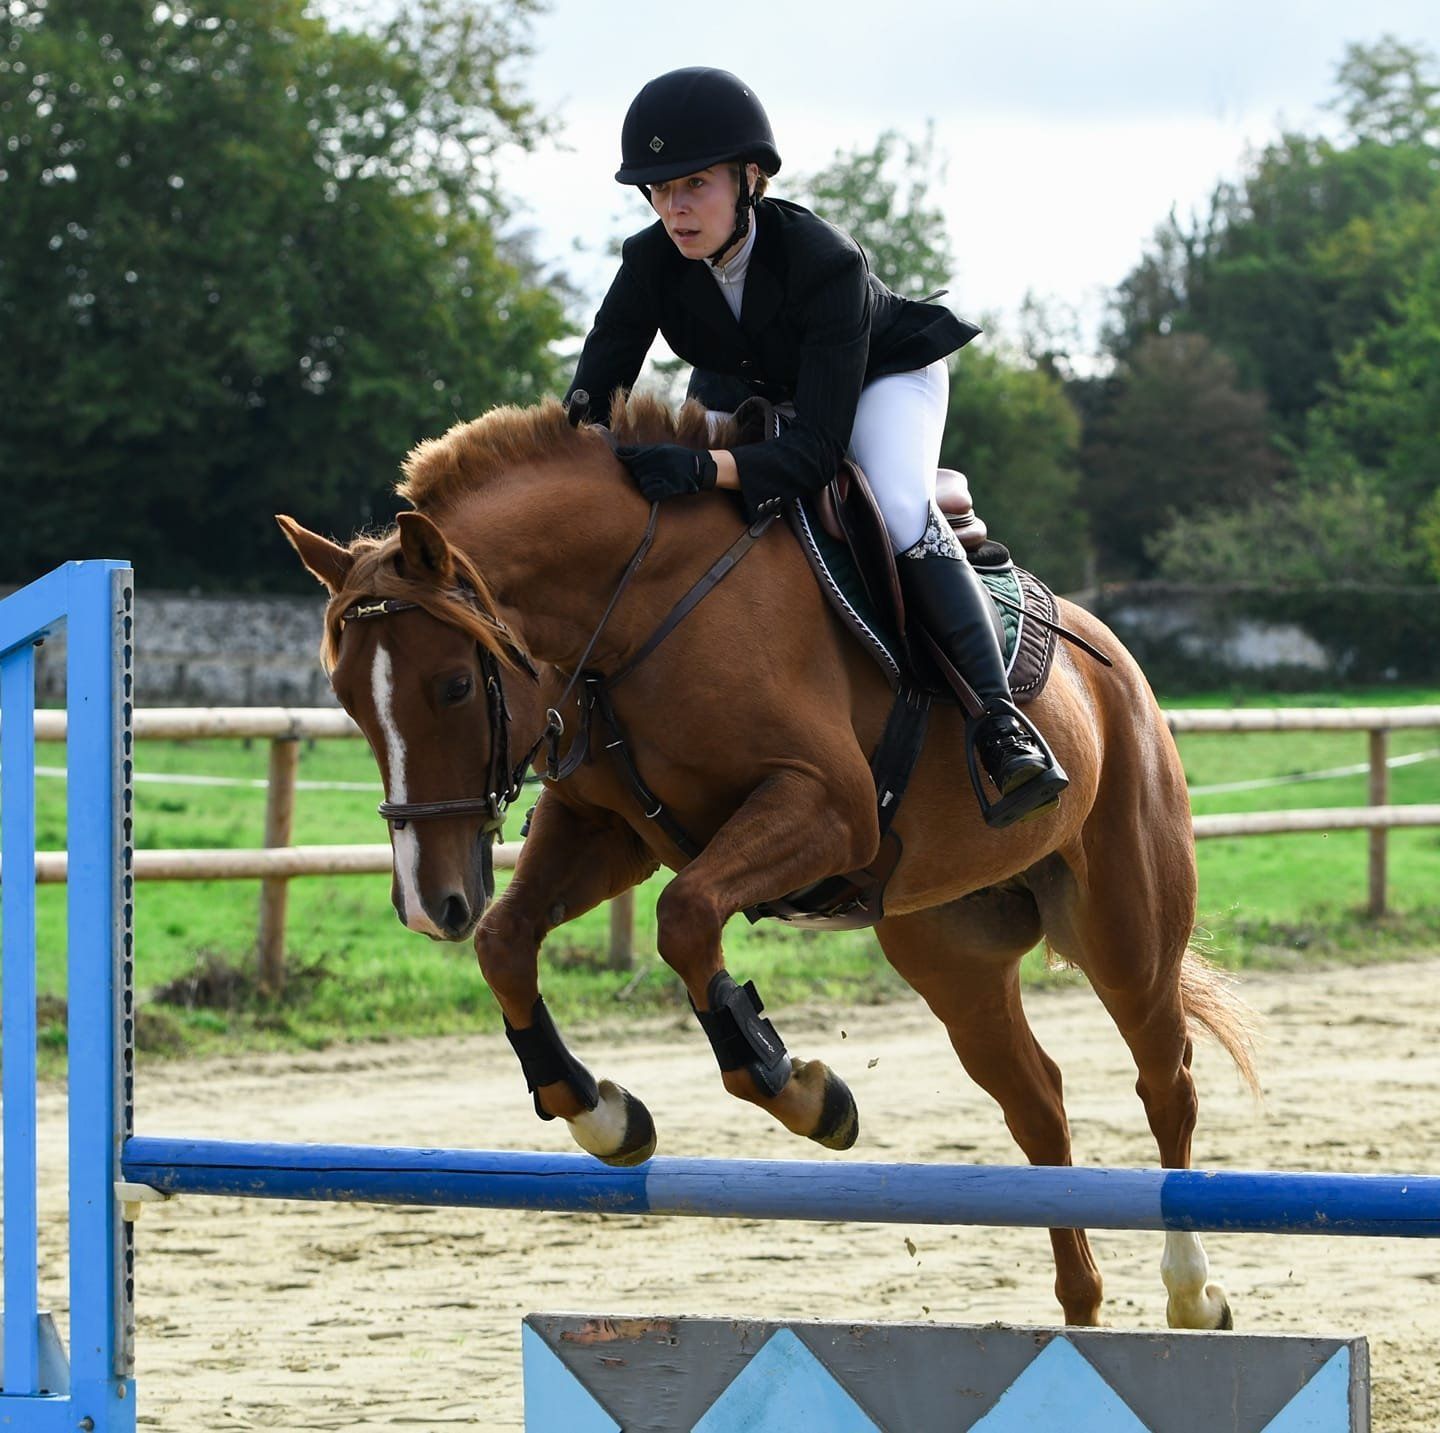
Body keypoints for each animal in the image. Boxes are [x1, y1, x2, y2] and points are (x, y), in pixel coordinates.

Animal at [278, 392, 1258, 1330]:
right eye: (348, 699)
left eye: (450, 685)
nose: (428, 903)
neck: (642, 605)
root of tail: (1117, 664)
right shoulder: (608, 830)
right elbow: (509, 941)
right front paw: (604, 1115)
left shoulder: (826, 810)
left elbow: (685, 919)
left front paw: (812, 1097)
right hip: (951, 952)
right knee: (1038, 1103)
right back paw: (1081, 1305)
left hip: (1124, 930)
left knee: (1166, 1081)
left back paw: (1191, 1292)